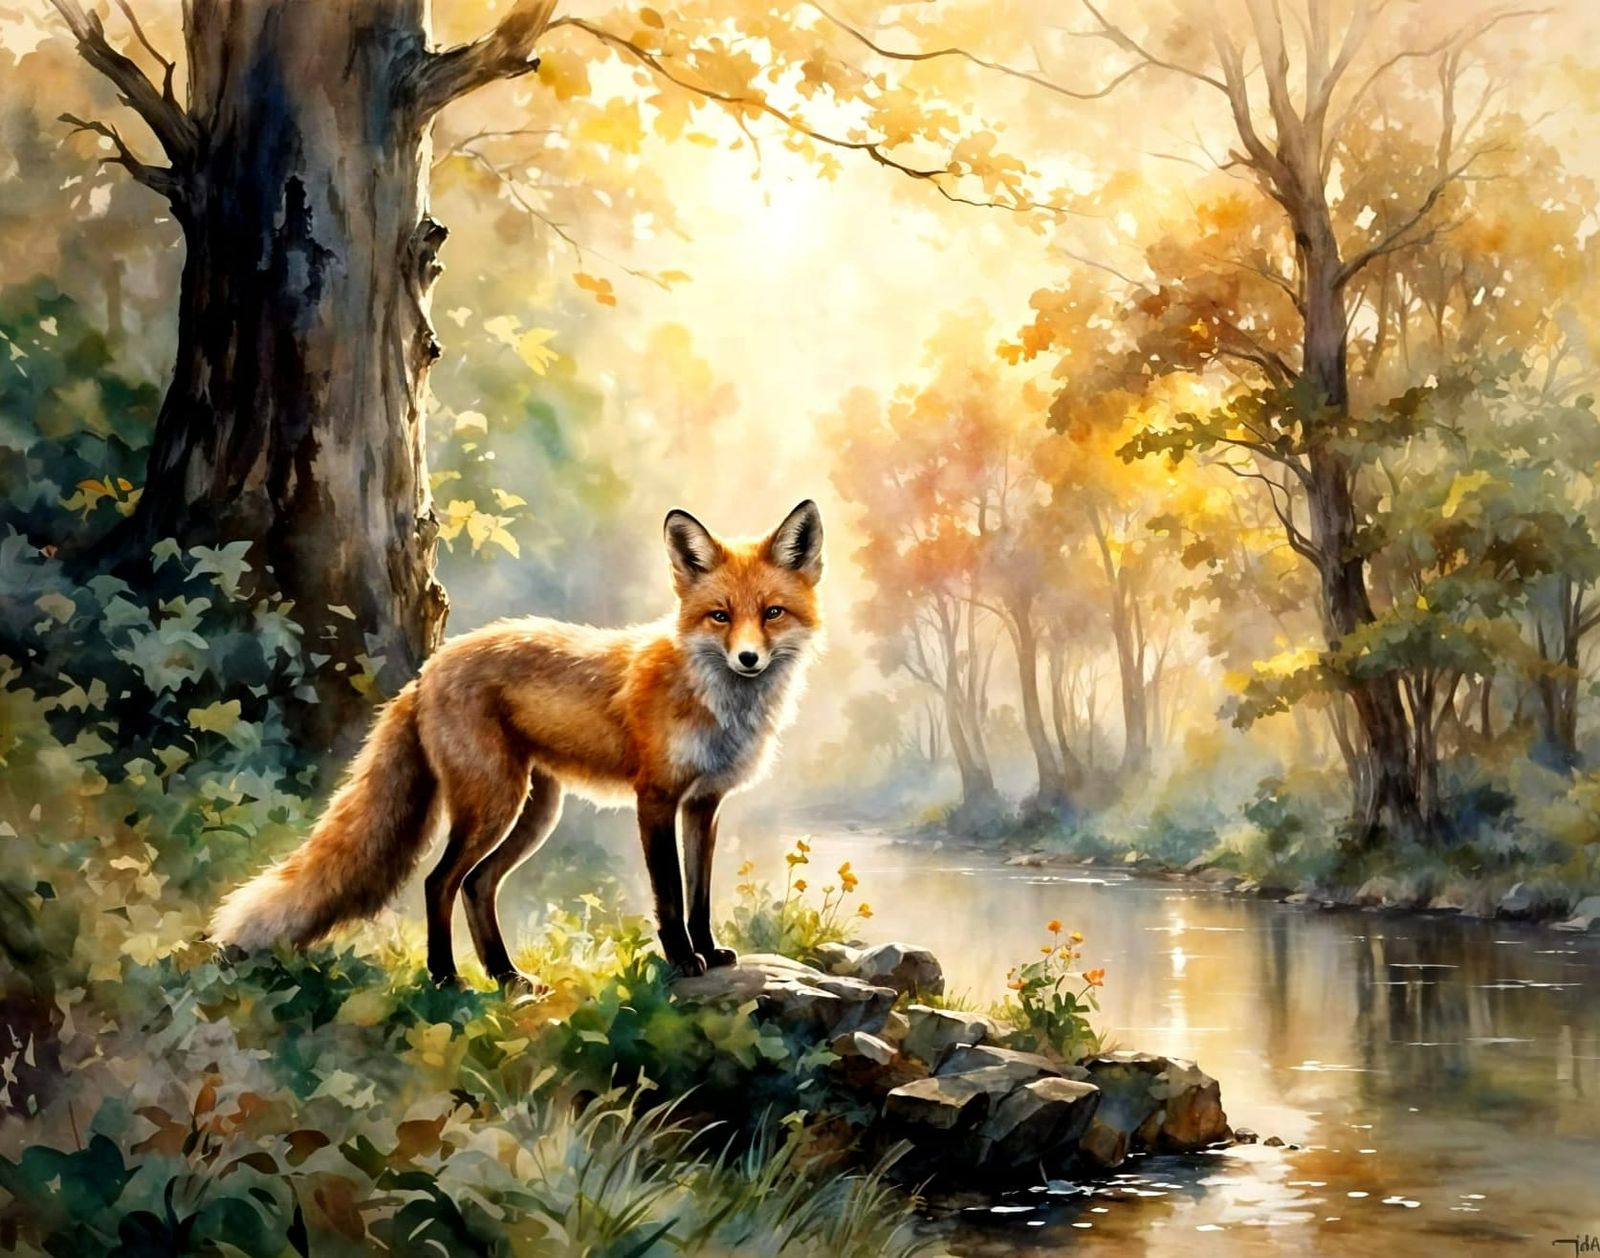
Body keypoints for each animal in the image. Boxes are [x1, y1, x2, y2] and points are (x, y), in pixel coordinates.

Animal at [209, 500, 824, 990]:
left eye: (772, 613)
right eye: (720, 616)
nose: (748, 658)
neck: (717, 702)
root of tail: (426, 672)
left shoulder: (703, 804)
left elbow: (699, 893)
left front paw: (710, 951)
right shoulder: (656, 797)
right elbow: (670, 895)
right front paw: (680, 959)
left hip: (535, 810)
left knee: (478, 884)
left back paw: (504, 975)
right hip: (494, 802)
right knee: (439, 881)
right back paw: (446, 977)